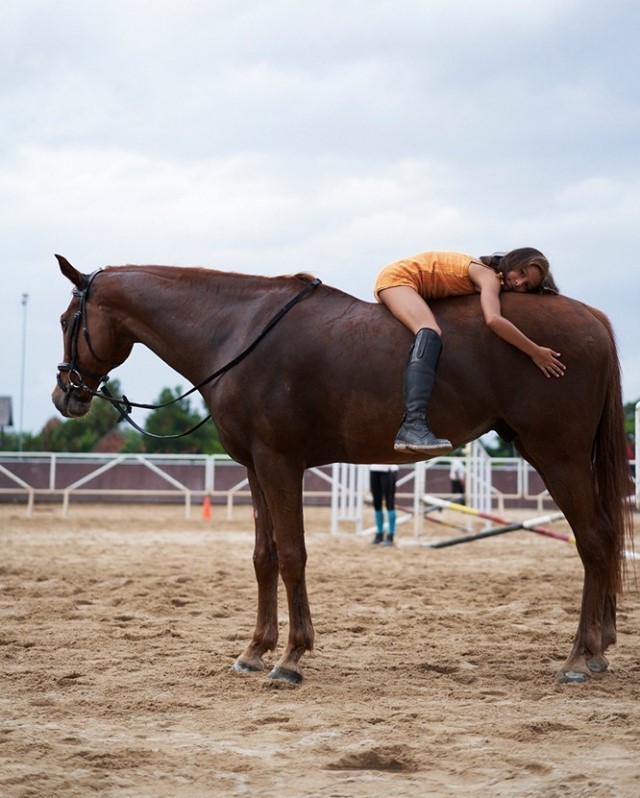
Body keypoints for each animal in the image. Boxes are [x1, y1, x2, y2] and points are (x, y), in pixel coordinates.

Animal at [51, 255, 633, 685]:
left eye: (64, 321)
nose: (64, 395)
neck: (238, 333)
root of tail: (591, 318)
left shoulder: (280, 464)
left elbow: (292, 556)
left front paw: (290, 658)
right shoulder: (255, 468)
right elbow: (263, 557)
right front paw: (255, 650)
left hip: (556, 456)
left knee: (593, 540)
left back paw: (579, 658)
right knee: (603, 539)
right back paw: (599, 649)